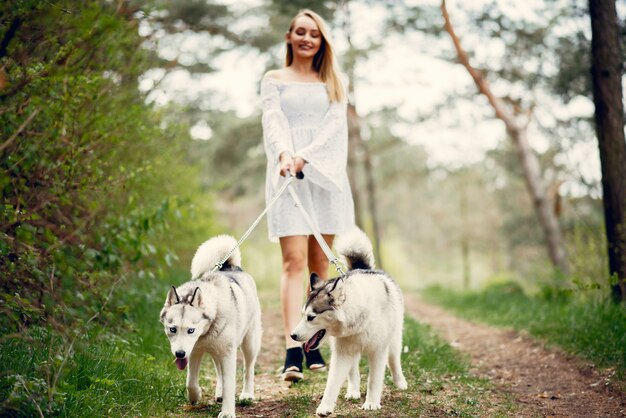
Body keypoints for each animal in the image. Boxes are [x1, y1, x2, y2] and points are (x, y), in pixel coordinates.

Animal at [161, 237, 260, 416]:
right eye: (172, 329)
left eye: (191, 330)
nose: (179, 354)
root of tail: (230, 266)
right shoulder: (194, 352)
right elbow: (190, 381)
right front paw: (195, 396)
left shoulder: (228, 354)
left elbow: (230, 385)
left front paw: (227, 412)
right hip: (216, 351)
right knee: (219, 370)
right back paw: (220, 392)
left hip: (249, 343)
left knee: (248, 369)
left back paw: (247, 394)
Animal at [290, 229, 408, 414]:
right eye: (302, 315)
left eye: (311, 317)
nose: (292, 336)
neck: (360, 319)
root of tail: (363, 268)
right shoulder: (342, 354)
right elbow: (332, 383)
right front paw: (325, 407)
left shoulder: (378, 351)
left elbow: (374, 380)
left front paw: (371, 403)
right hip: (350, 349)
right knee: (353, 371)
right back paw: (353, 391)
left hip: (393, 340)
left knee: (394, 360)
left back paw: (400, 382)